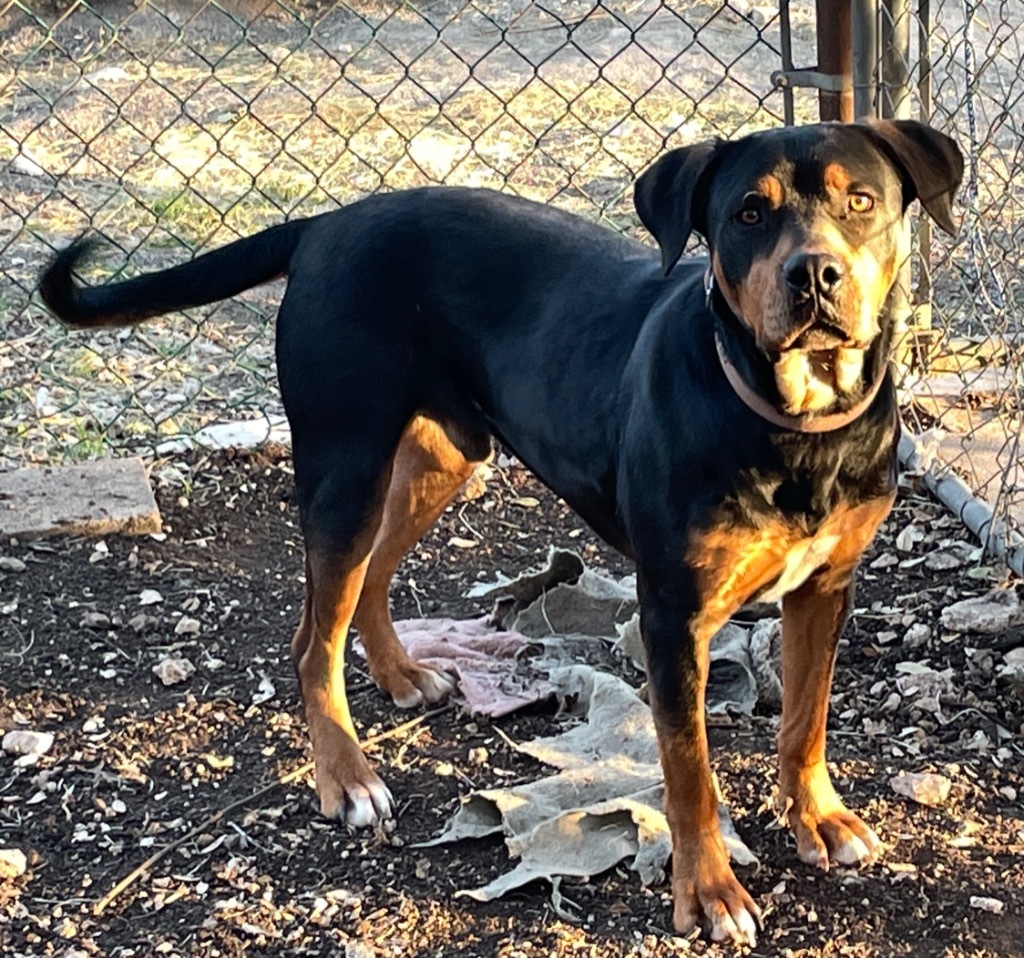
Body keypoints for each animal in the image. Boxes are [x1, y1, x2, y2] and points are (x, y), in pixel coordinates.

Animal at [39, 119, 962, 941]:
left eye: (862, 201)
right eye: (748, 214)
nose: (816, 275)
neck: (796, 425)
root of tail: (328, 222)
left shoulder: (826, 587)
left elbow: (805, 720)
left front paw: (819, 818)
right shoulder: (673, 614)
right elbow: (689, 770)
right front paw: (708, 893)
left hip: (442, 459)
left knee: (370, 580)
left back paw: (402, 675)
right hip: (345, 466)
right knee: (312, 639)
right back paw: (347, 779)